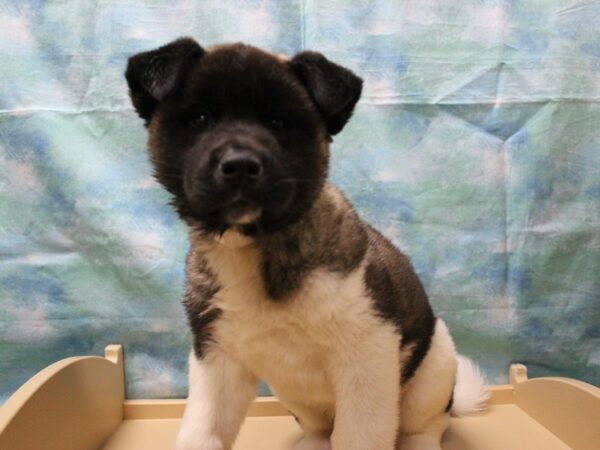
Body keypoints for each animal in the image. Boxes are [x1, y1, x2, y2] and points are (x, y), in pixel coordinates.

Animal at [125, 37, 488, 450]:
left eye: (278, 123)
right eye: (201, 119)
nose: (240, 164)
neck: (257, 245)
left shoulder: (367, 357)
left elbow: (359, 436)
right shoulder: (217, 358)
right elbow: (203, 431)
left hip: (434, 368)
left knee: (425, 425)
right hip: (294, 396)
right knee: (319, 429)